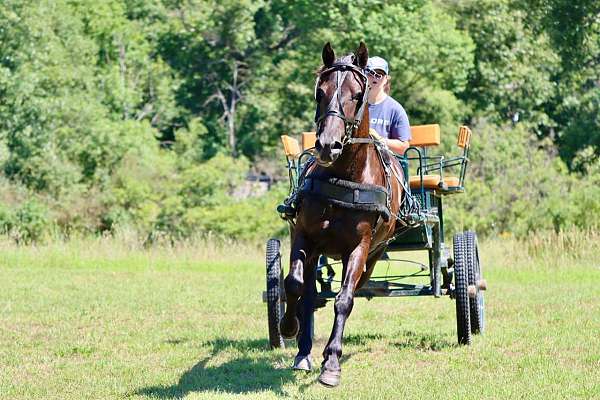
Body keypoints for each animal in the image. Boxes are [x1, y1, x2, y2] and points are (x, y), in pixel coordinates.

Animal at [280, 43, 404, 388]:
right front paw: (288, 327)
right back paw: (303, 352)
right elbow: (293, 285)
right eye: (319, 93)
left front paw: (332, 363)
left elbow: (344, 300)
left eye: (357, 95)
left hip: (373, 254)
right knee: (308, 293)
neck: (343, 178)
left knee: (354, 289)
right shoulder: (303, 236)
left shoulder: (359, 248)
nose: (327, 145)